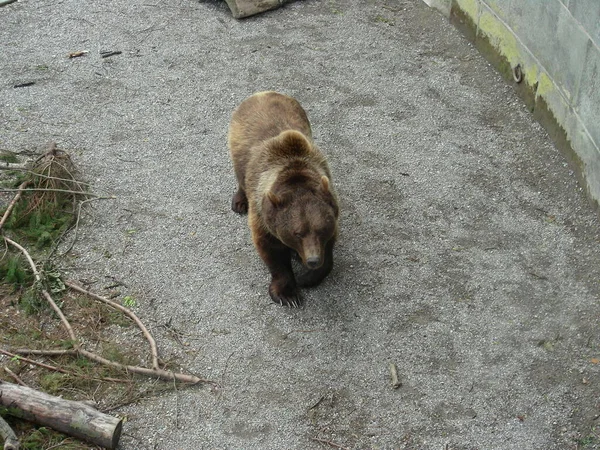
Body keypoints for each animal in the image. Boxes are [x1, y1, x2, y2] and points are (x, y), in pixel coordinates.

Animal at [226, 92, 338, 310]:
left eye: (321, 229)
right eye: (297, 232)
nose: (313, 260)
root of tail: (262, 93)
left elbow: (329, 250)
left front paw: (307, 277)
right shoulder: (263, 216)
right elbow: (272, 252)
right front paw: (288, 294)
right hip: (238, 146)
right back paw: (239, 202)